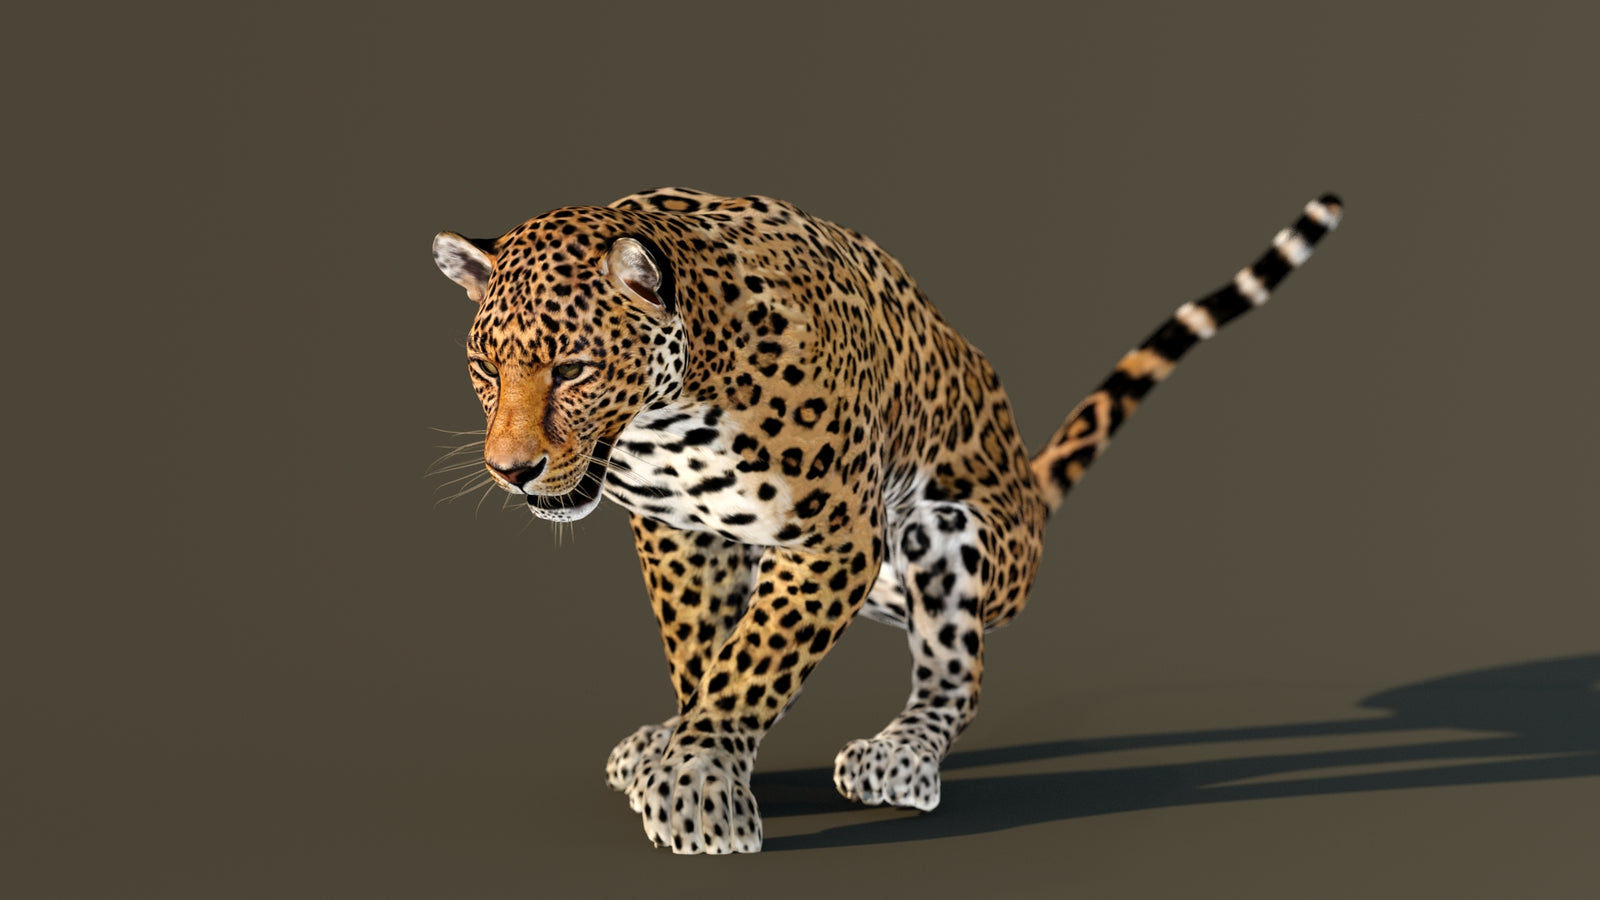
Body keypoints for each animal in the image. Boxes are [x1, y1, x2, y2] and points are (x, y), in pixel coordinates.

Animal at [431, 187, 1343, 854]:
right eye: (484, 367)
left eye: (574, 368)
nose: (510, 470)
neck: (667, 419)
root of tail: (1030, 497)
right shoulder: (681, 534)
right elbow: (700, 651)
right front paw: (685, 749)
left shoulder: (835, 537)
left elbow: (751, 661)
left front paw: (696, 784)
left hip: (944, 534)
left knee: (957, 673)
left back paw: (900, 755)